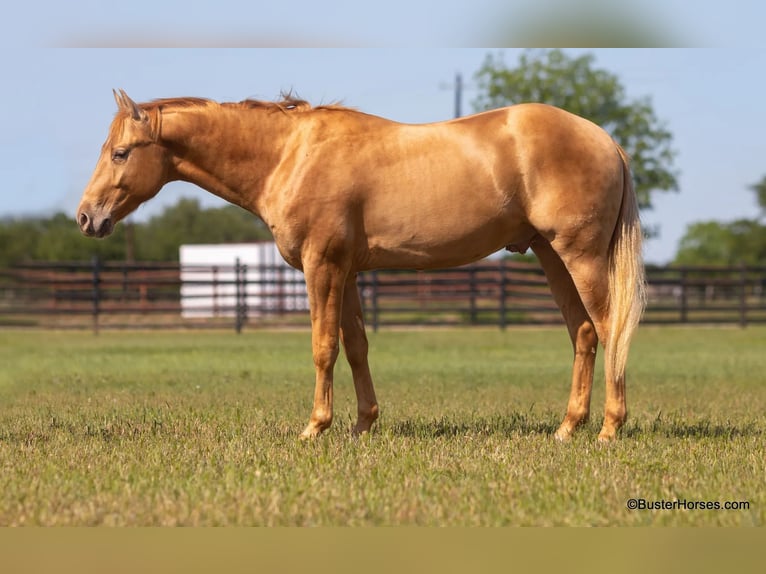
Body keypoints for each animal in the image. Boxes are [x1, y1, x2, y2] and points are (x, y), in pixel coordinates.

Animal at [78, 90, 644, 444]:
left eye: (121, 153)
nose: (87, 217)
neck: (288, 156)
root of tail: (606, 140)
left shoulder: (322, 266)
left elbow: (323, 347)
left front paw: (315, 427)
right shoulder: (346, 272)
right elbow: (355, 346)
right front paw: (362, 425)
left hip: (579, 255)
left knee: (610, 330)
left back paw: (609, 428)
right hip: (552, 256)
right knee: (584, 333)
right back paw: (567, 427)